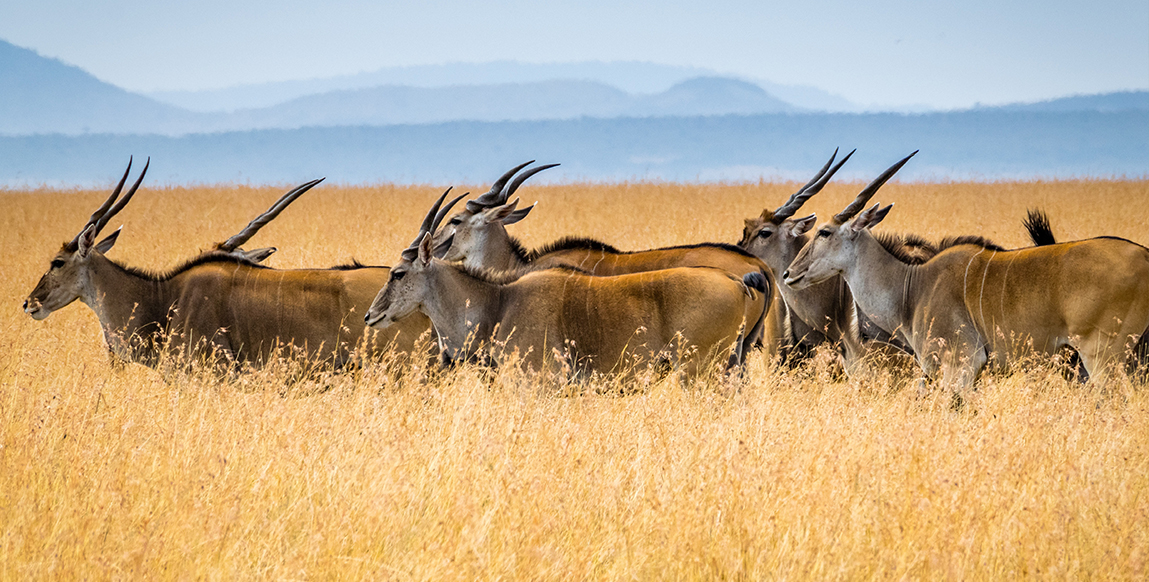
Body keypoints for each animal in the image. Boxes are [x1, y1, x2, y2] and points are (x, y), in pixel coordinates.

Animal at [781, 154, 1149, 397]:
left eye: (825, 232)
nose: (788, 273)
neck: (911, 287)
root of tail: (1144, 255)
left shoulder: (961, 364)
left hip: (1103, 357)